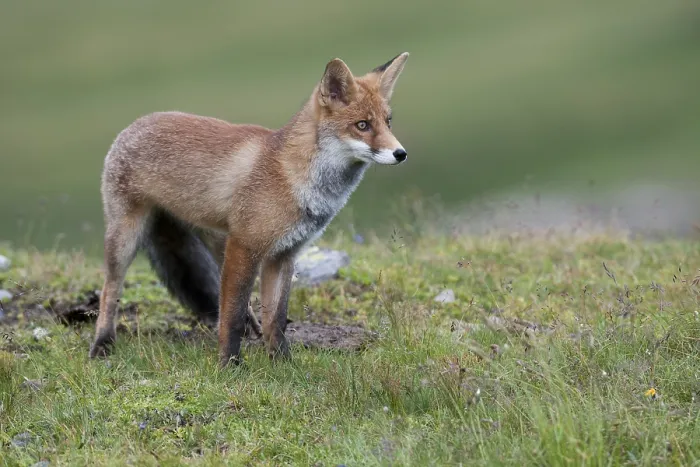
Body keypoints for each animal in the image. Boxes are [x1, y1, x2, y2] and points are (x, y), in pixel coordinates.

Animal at [89, 52, 410, 367]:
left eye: (388, 123)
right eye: (362, 125)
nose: (401, 153)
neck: (292, 175)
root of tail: (136, 123)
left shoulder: (283, 254)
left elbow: (276, 318)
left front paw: (282, 363)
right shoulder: (245, 246)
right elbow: (231, 315)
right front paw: (229, 364)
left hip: (215, 240)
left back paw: (251, 328)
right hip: (127, 238)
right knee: (110, 290)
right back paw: (102, 343)